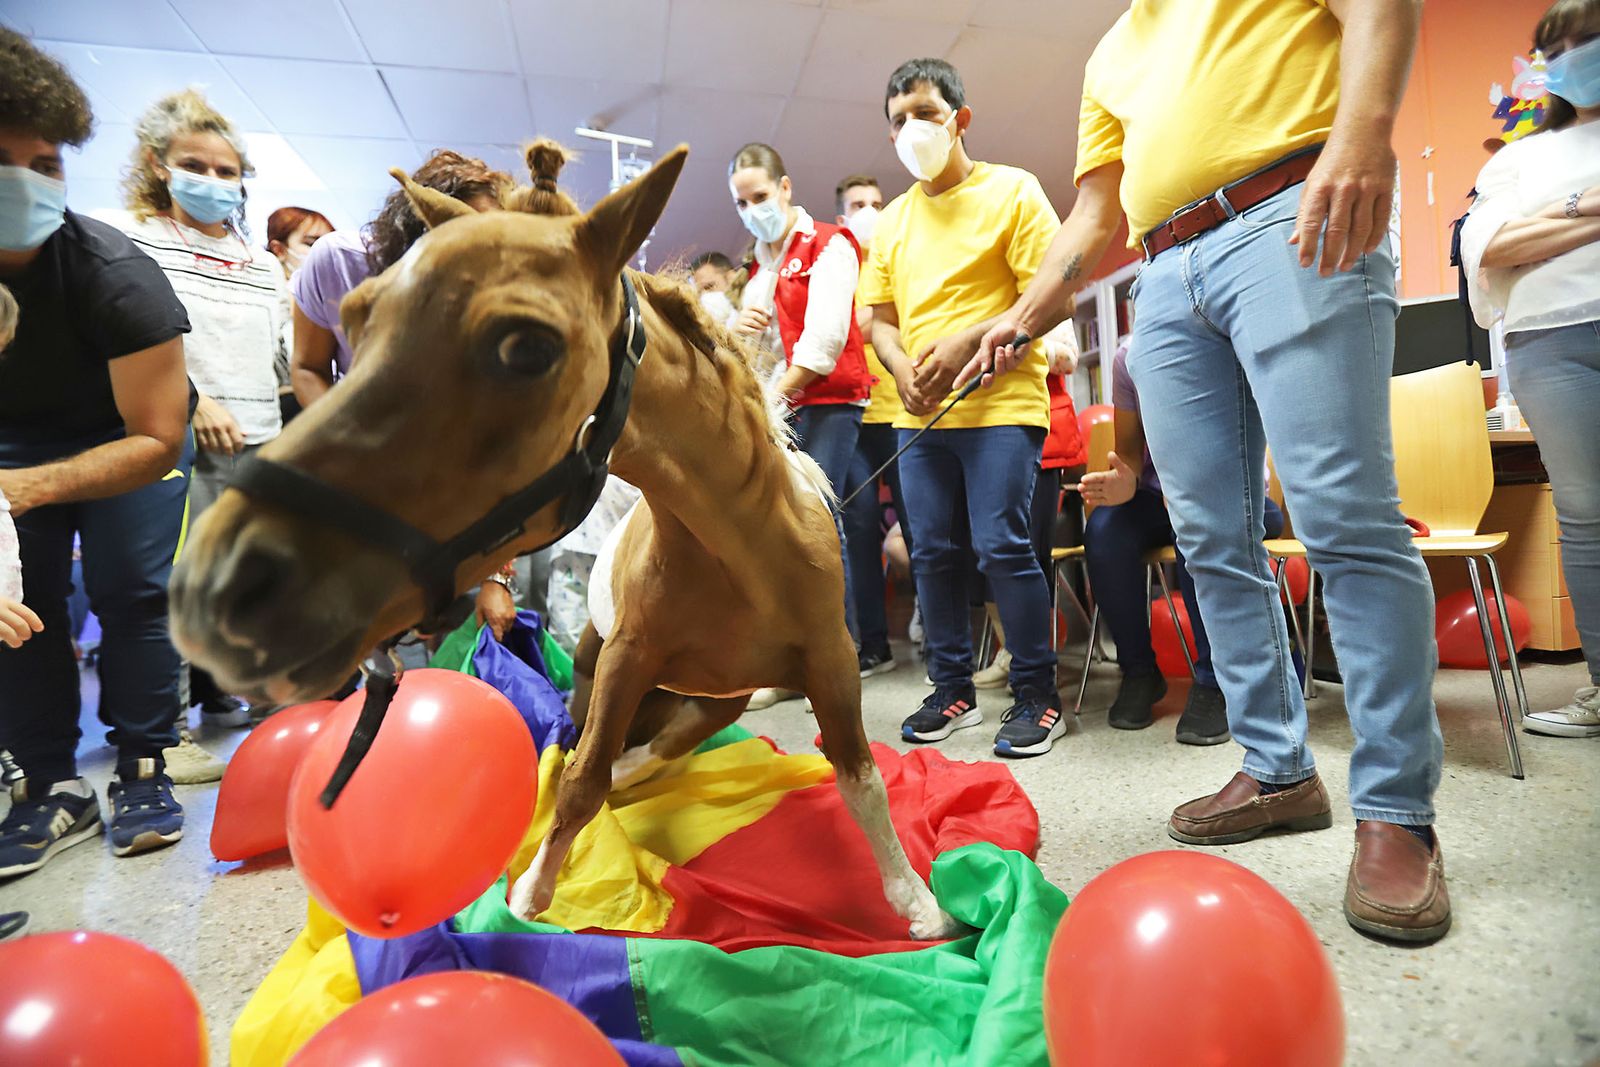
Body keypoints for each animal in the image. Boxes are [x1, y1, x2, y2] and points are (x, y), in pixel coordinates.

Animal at [169, 144, 960, 941]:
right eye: (357, 317)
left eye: (527, 347)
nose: (216, 586)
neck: (741, 556)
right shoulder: (624, 663)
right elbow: (582, 778)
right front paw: (530, 893)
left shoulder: (831, 661)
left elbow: (858, 775)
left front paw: (918, 906)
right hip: (612, 679)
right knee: (599, 748)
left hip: (718, 702)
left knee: (657, 749)